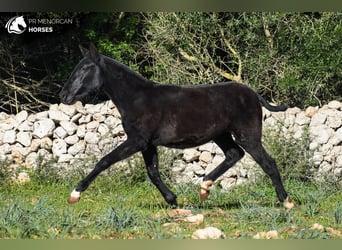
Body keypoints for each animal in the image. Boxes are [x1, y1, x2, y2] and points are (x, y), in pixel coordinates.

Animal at [58, 44, 294, 210]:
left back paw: (286, 202)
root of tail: (253, 94)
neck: (136, 98)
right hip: (222, 135)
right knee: (234, 154)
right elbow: (153, 172)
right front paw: (172, 200)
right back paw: (204, 188)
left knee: (267, 162)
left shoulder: (137, 141)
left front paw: (74, 194)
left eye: (85, 69)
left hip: (247, 135)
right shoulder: (147, 144)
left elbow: (104, 161)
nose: (63, 95)